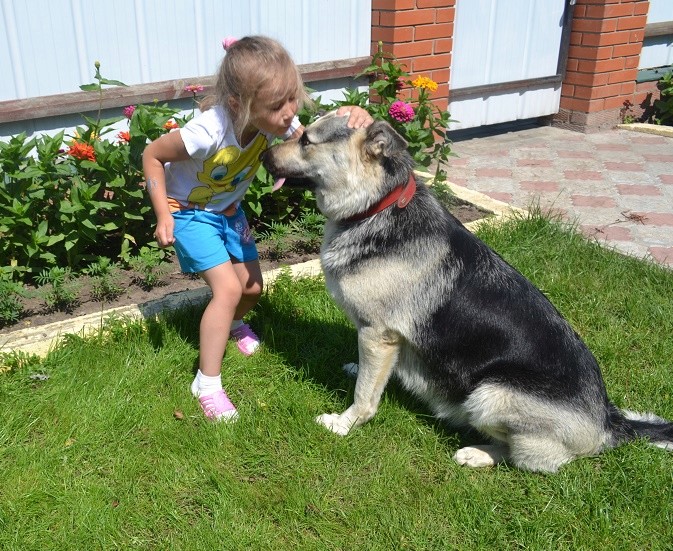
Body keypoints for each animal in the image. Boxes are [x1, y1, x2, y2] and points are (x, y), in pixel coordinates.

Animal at [262, 112, 672, 474]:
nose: (261, 155)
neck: (375, 207)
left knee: (537, 460)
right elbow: (370, 375)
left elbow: (365, 396)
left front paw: (344, 424)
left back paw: (478, 453)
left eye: (305, 140)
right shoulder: (379, 342)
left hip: (490, 393)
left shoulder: (379, 335)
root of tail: (607, 420)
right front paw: (355, 370)